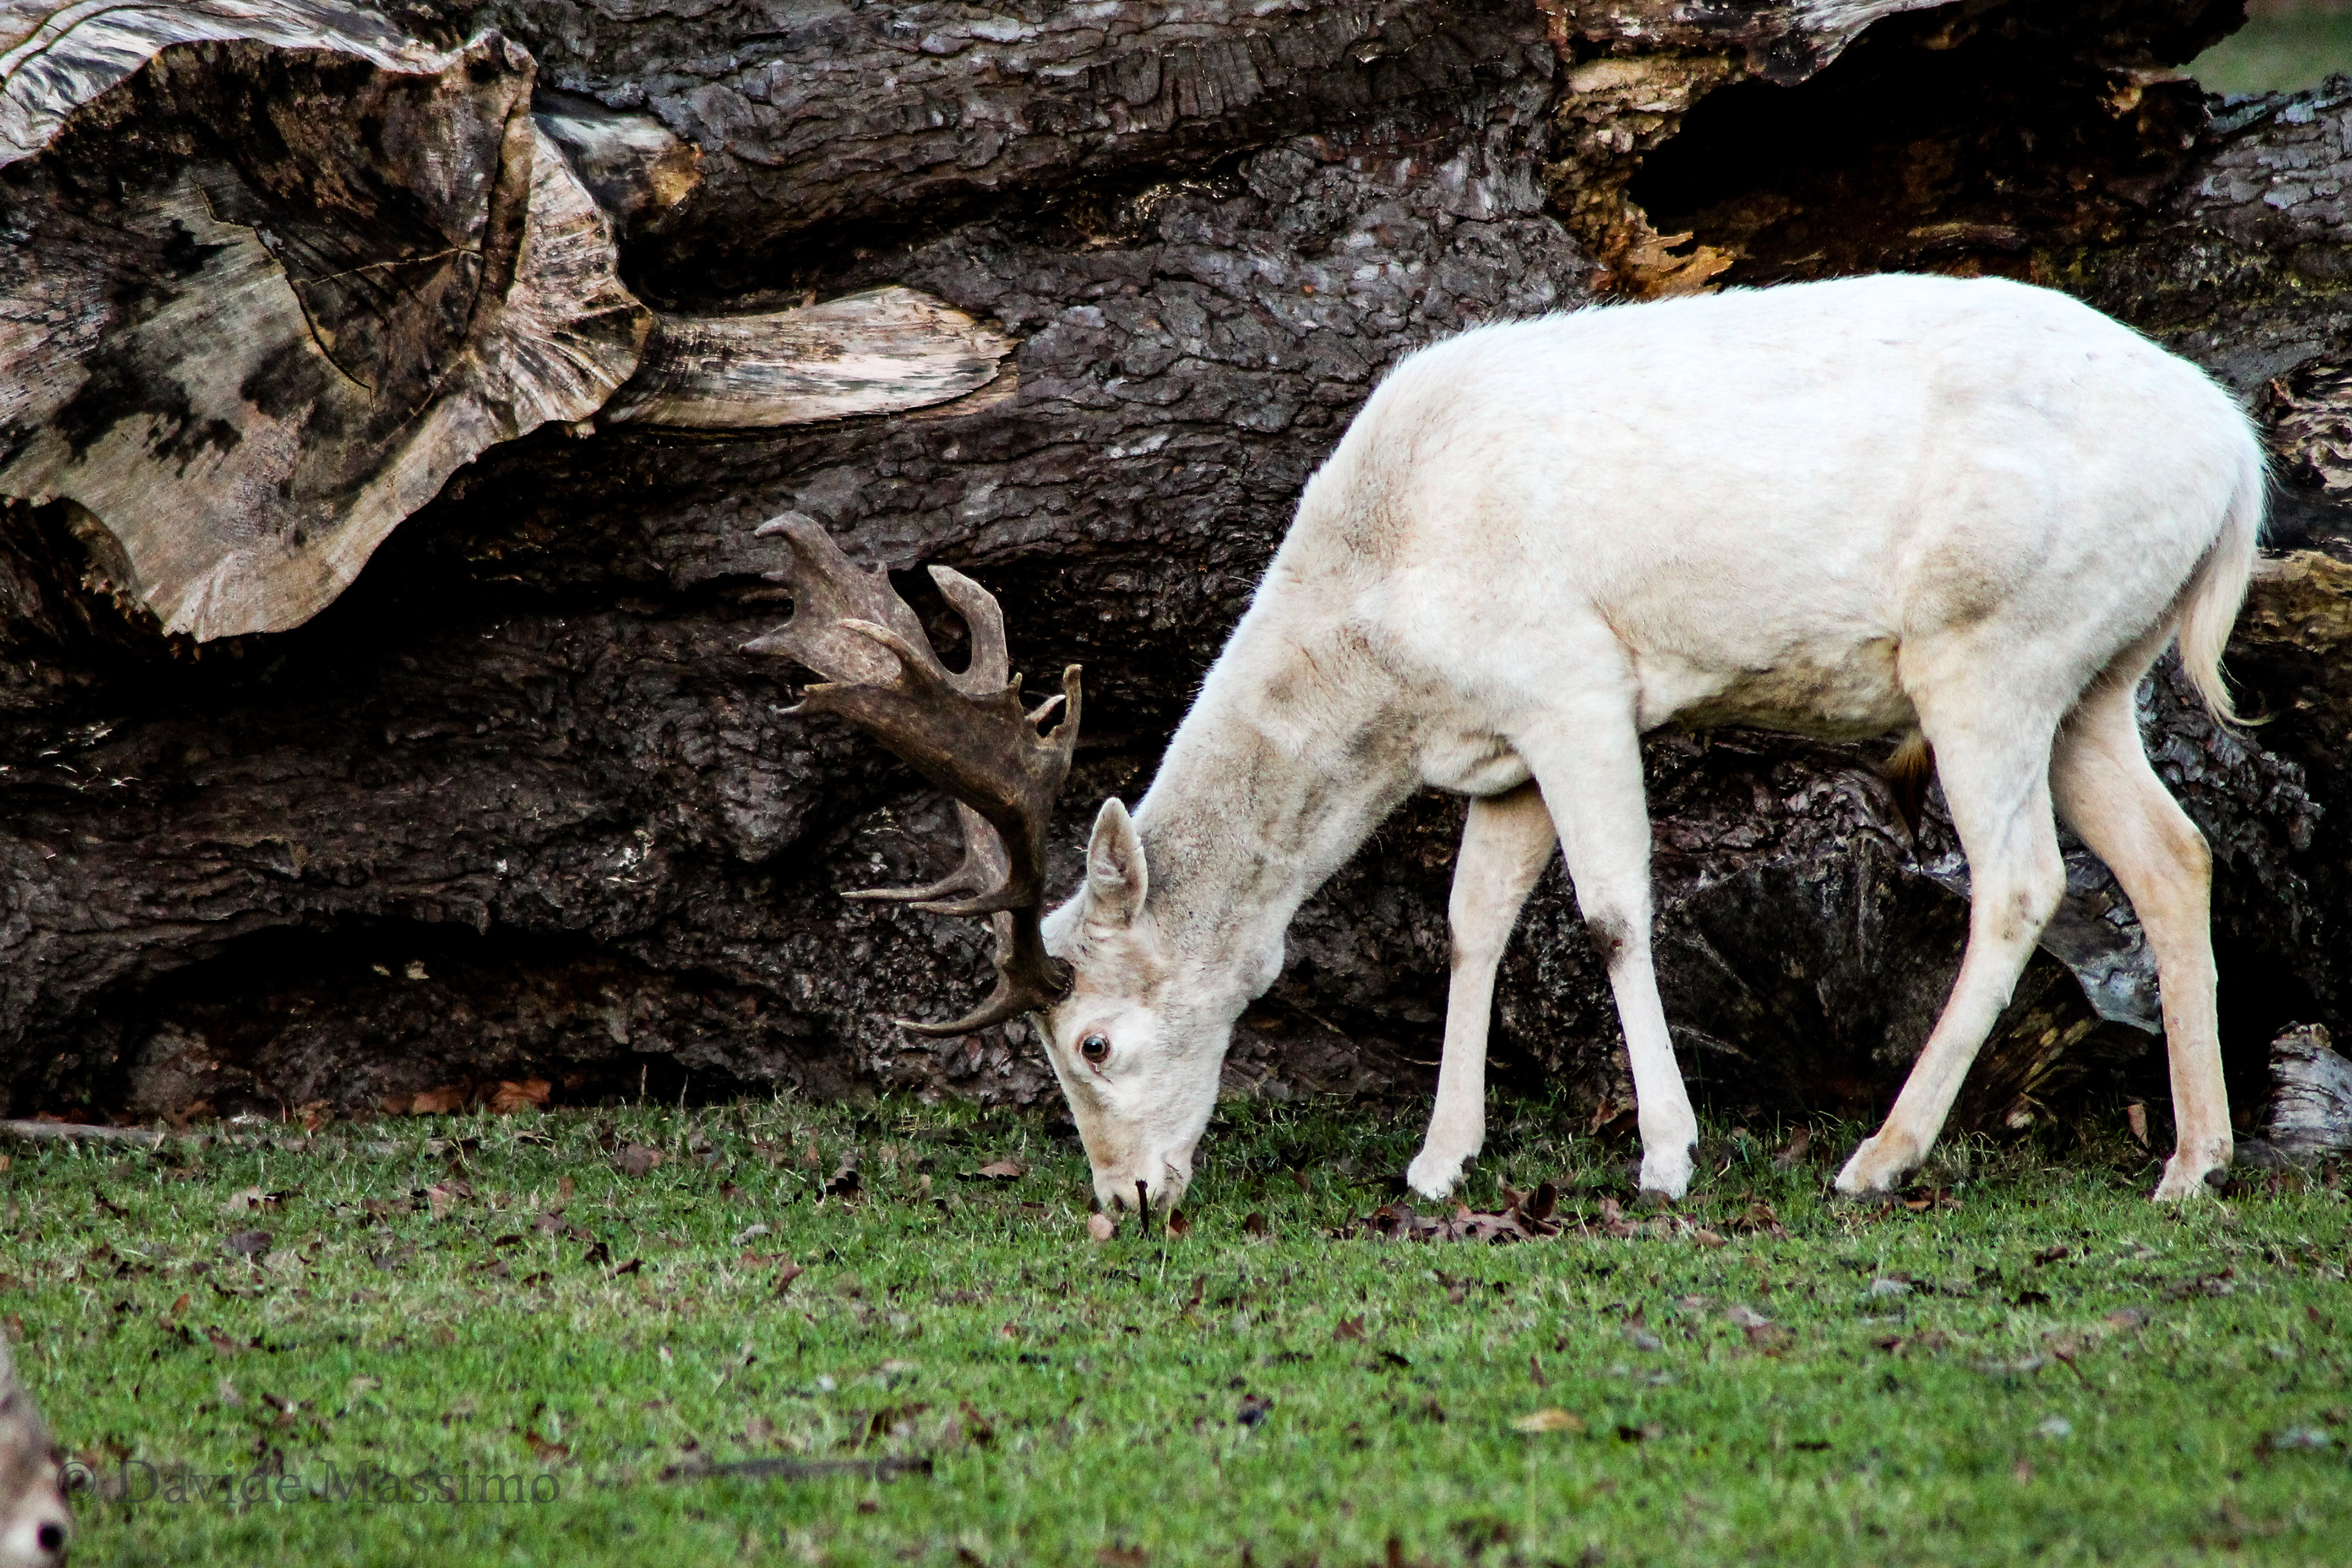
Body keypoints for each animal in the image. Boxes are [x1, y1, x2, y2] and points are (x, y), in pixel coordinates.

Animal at [747, 271, 2261, 1215]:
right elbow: (1472, 922)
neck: (1390, 623)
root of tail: (2240, 458)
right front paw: (1438, 1162)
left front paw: (1666, 1157)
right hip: (2094, 674)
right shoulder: (1502, 751)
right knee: (2175, 853)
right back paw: (2194, 1163)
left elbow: (1610, 912)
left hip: (1987, 648)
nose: (1126, 1195)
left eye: (1095, 1044)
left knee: (2023, 880)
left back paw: (1879, 1157)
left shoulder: (1574, 682)